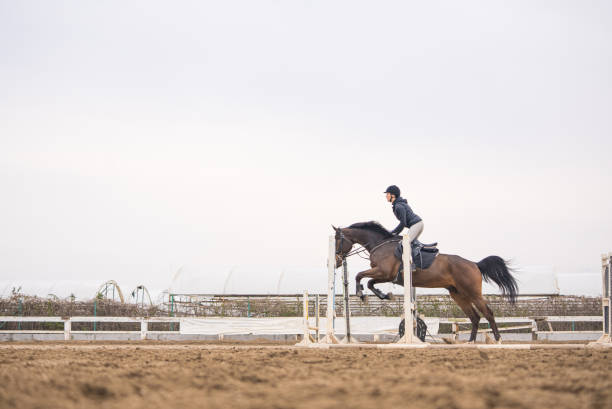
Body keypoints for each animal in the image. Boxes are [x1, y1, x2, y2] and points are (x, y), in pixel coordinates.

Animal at [332, 220, 520, 342]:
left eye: (337, 241)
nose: (336, 262)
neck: (380, 244)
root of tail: (475, 264)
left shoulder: (384, 273)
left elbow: (360, 276)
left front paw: (361, 293)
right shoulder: (384, 276)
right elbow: (370, 282)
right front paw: (384, 295)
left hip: (472, 292)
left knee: (487, 313)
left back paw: (497, 340)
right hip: (457, 294)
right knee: (474, 317)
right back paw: (470, 342)